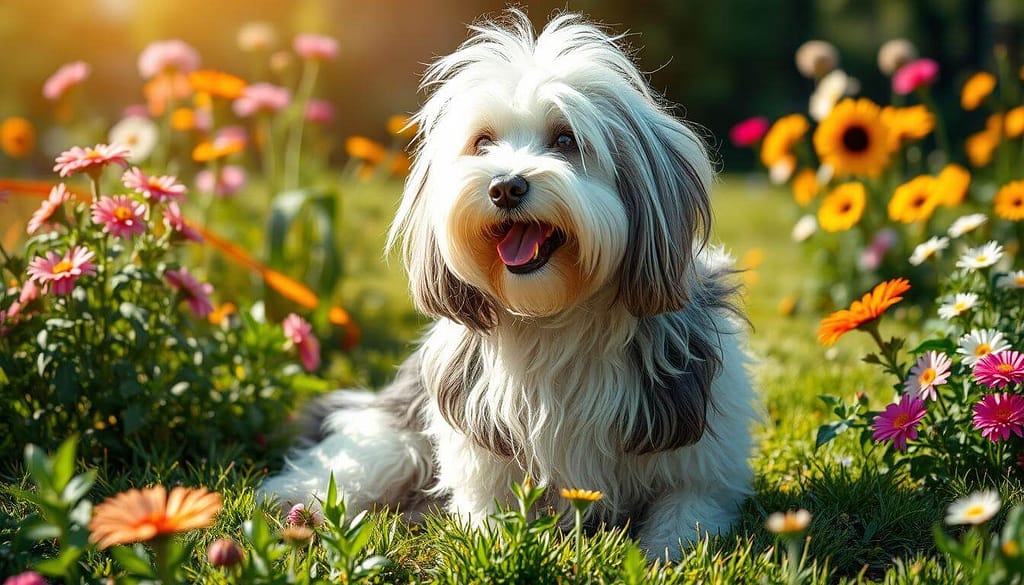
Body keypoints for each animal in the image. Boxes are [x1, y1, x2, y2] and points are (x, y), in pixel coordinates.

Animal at [264, 8, 757, 557]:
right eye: (482, 143)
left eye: (565, 140)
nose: (504, 187)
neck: (555, 317)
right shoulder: (477, 442)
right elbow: (485, 514)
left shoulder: (700, 455)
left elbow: (686, 514)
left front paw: (662, 553)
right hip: (400, 427)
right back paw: (299, 501)